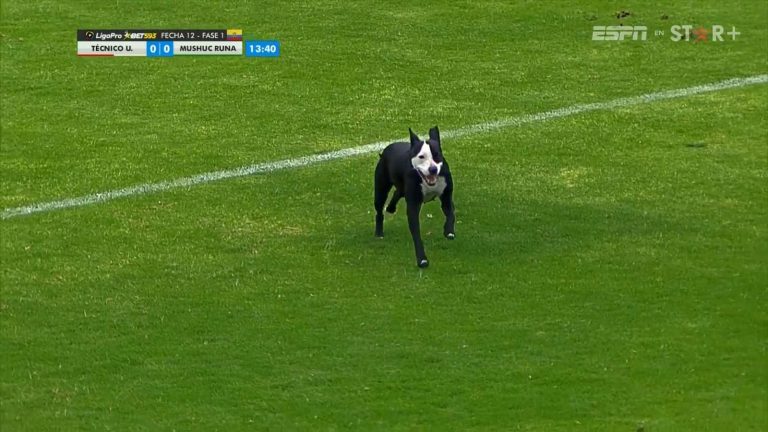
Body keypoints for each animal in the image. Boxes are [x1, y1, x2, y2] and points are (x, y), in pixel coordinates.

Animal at [374, 125, 452, 266]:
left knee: (398, 192)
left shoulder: (447, 198)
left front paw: (448, 231)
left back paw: (391, 208)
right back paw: (379, 233)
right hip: (380, 190)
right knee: (379, 211)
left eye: (437, 155)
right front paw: (422, 259)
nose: (433, 169)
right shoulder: (413, 207)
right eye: (421, 157)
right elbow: (416, 233)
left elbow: (451, 215)